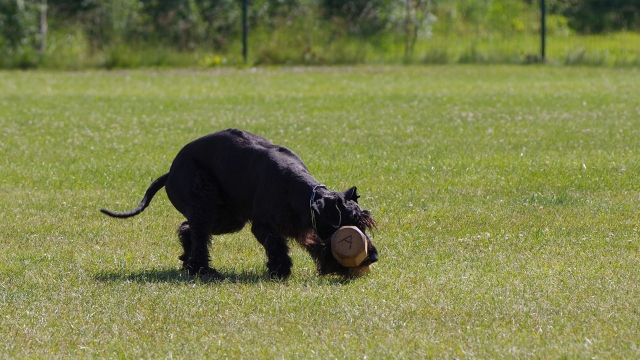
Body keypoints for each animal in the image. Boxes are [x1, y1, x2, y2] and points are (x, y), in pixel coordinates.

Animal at [102, 128, 378, 280]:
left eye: (365, 223)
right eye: (350, 225)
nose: (373, 256)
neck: (299, 191)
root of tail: (169, 173)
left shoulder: (303, 227)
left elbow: (317, 244)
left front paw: (334, 266)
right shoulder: (264, 226)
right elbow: (277, 246)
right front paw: (281, 271)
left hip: (226, 218)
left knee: (189, 229)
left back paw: (189, 261)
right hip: (203, 199)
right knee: (198, 233)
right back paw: (203, 271)